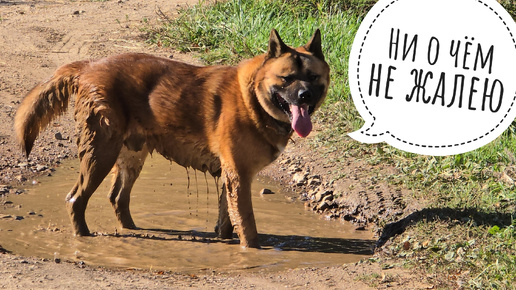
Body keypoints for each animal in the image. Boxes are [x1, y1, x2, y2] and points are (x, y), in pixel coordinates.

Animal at [16, 28, 330, 247]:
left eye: (313, 77)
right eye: (287, 78)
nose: (305, 96)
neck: (252, 97)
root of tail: (89, 66)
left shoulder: (229, 176)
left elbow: (227, 219)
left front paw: (224, 239)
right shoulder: (239, 175)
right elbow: (247, 224)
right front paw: (251, 251)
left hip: (131, 155)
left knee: (118, 197)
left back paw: (132, 228)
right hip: (100, 154)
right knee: (76, 199)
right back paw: (84, 235)